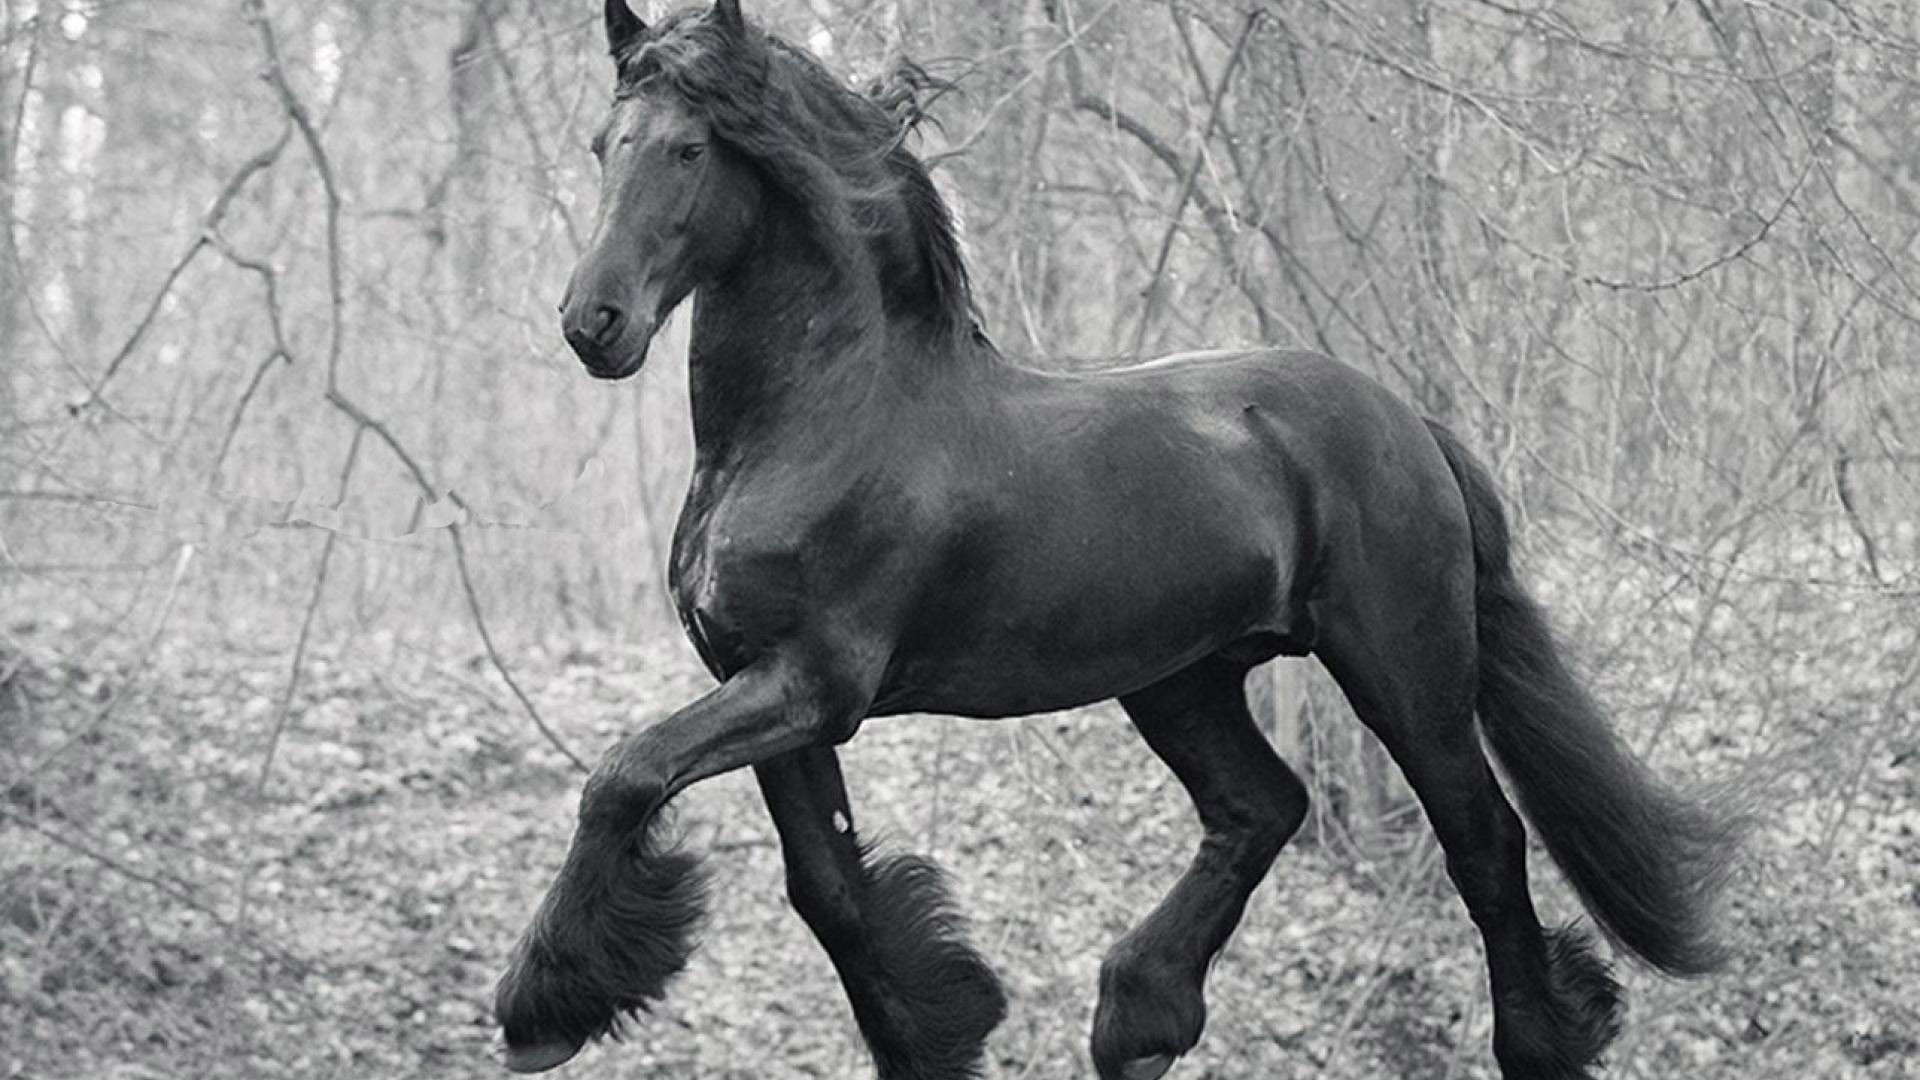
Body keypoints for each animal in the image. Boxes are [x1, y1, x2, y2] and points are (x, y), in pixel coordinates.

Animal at [493, 3, 1740, 1077]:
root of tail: (1406, 423)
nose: (593, 323)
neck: (824, 421)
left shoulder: (814, 682)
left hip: (1405, 669)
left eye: (690, 149)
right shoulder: (762, 682)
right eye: (605, 143)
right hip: (1182, 677)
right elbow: (827, 889)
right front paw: (941, 1030)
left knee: (1481, 838)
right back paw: (1140, 1019)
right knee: (1261, 808)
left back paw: (1538, 1042)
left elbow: (623, 777)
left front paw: (539, 1014)